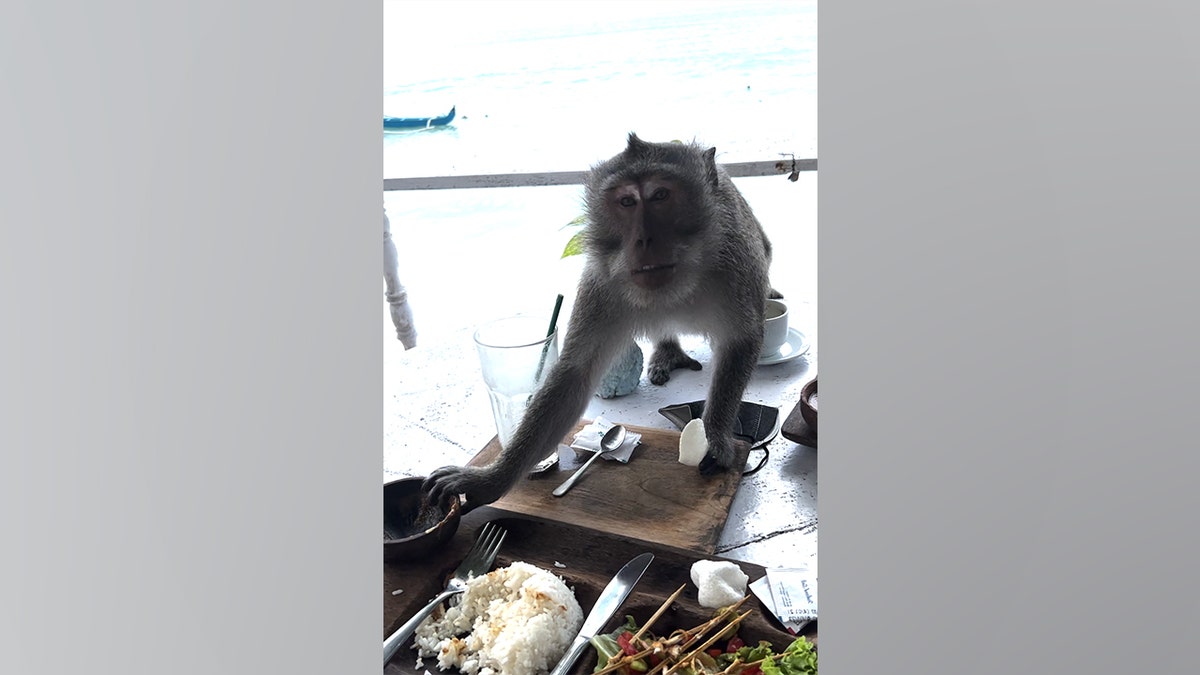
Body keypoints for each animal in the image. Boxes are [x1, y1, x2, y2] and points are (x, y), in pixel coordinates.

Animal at [424, 133, 780, 510]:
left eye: (660, 195)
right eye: (626, 201)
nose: (643, 239)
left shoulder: (735, 264)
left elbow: (741, 341)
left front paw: (714, 437)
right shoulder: (602, 285)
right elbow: (573, 376)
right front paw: (490, 480)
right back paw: (667, 348)